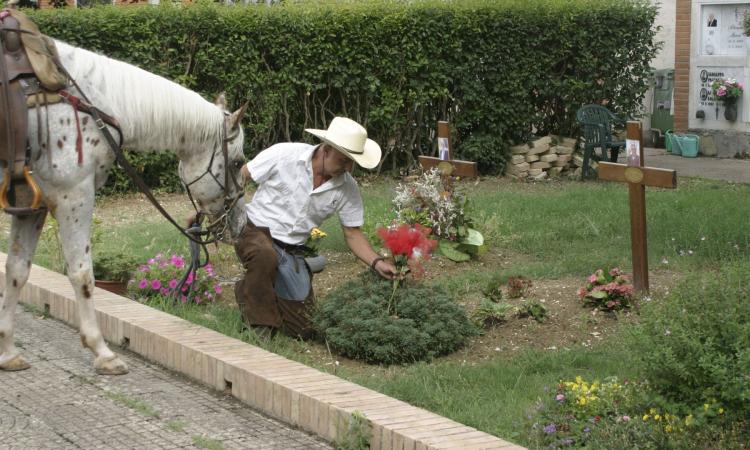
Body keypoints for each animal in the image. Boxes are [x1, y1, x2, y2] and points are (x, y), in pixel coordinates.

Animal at [0, 40, 251, 374]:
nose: (240, 223)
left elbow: (16, 270)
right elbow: (82, 273)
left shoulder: (32, 207)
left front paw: (7, 351)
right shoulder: (74, 197)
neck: (90, 102)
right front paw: (102, 351)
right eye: (237, 162)